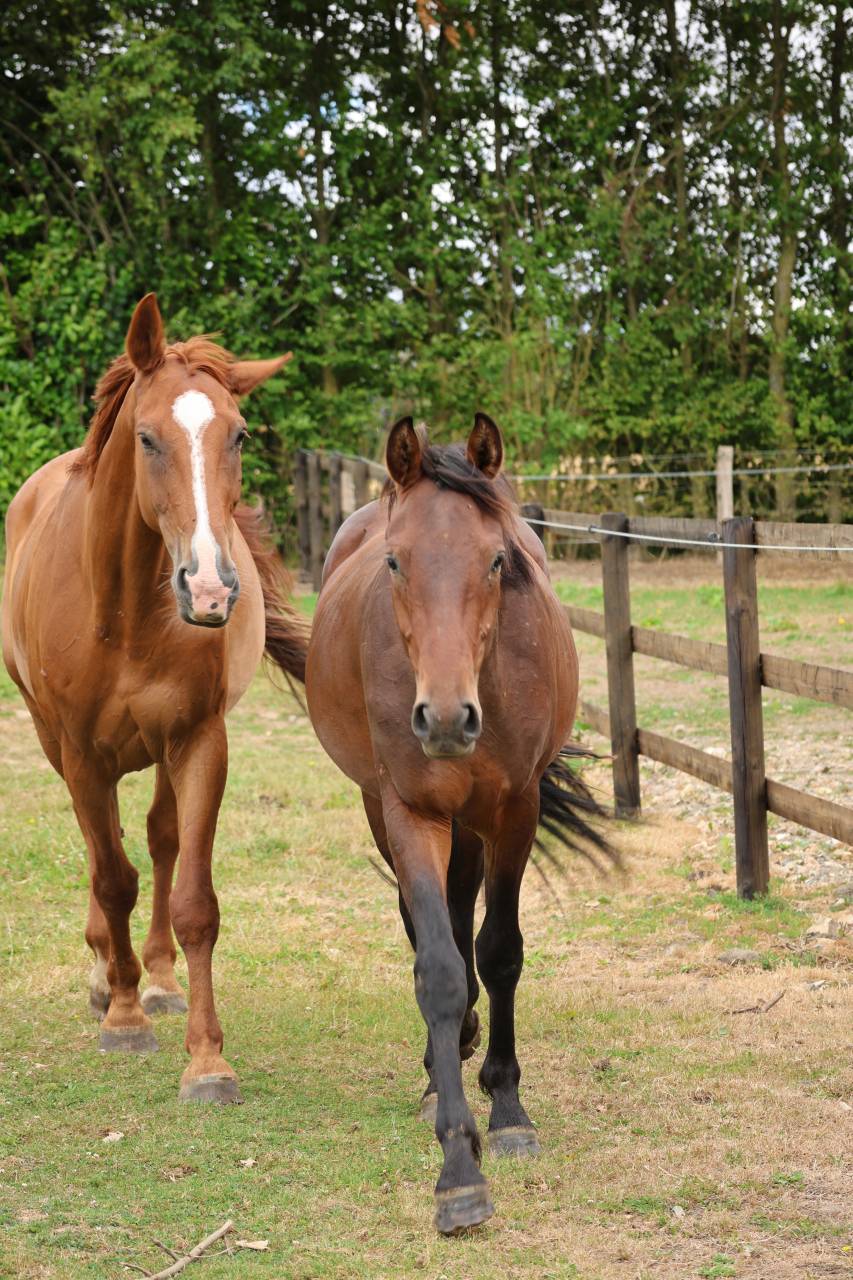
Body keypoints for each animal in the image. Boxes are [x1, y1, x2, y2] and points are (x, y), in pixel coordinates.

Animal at [1, 293, 308, 1104]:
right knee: (102, 849)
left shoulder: (199, 738)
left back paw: (159, 978)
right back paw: (108, 977)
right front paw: (124, 1017)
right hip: (59, 746)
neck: (128, 614)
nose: (209, 589)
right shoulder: (80, 753)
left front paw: (206, 1059)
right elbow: (112, 877)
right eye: (146, 438)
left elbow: (193, 898)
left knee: (161, 840)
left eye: (237, 435)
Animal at [305, 415, 611, 1233]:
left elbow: (499, 950)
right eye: (395, 561)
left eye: (497, 558)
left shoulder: (515, 810)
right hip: (388, 809)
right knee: (426, 920)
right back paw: (437, 1065)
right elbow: (438, 967)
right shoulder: (409, 810)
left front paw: (506, 1109)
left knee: (464, 906)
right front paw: (457, 1168)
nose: (445, 720)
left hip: (474, 824)